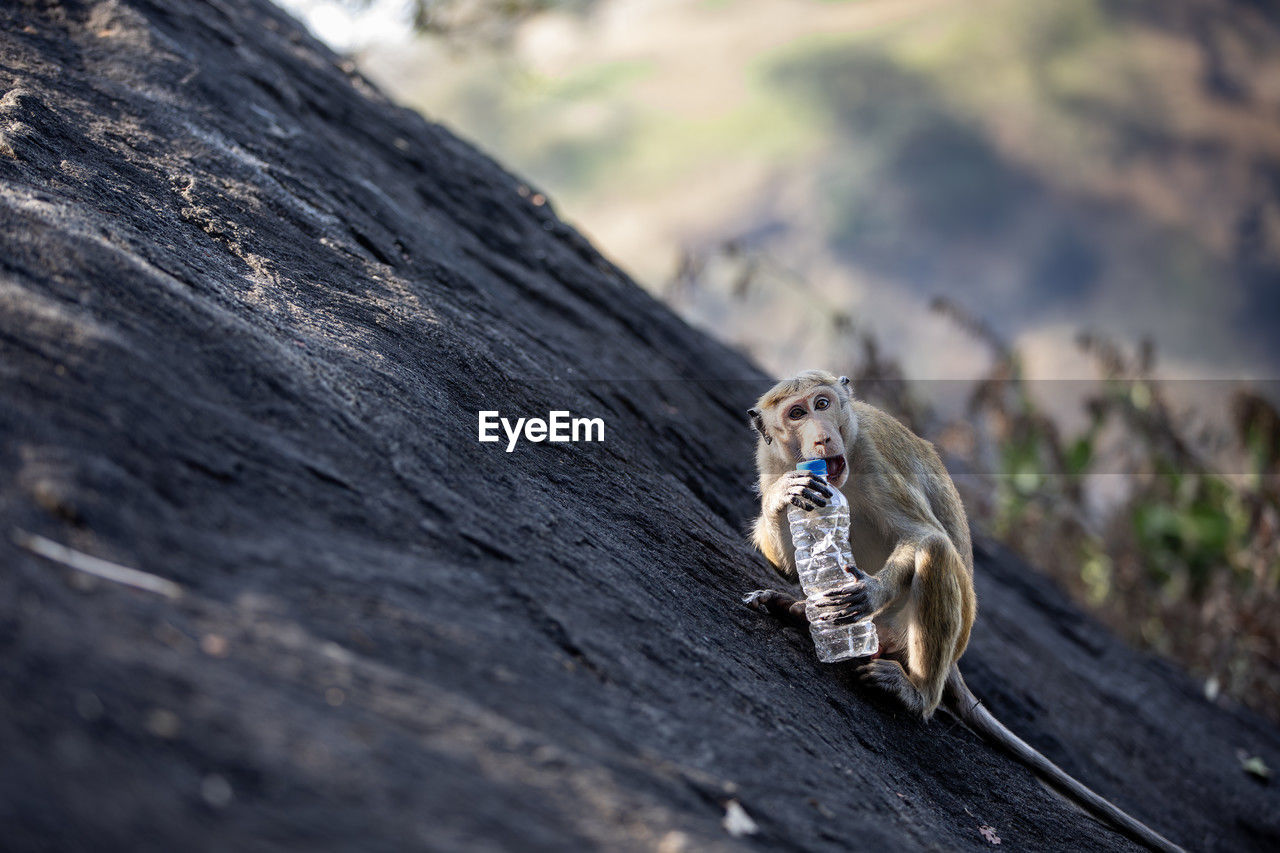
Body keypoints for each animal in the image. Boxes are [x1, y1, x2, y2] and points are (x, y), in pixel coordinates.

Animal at [747, 371, 1182, 850]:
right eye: (796, 413)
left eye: (822, 404)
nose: (822, 438)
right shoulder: (769, 462)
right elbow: (788, 557)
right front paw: (784, 499)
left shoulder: (876, 460)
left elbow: (924, 537)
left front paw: (870, 592)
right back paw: (798, 608)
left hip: (928, 630)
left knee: (936, 555)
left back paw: (918, 693)